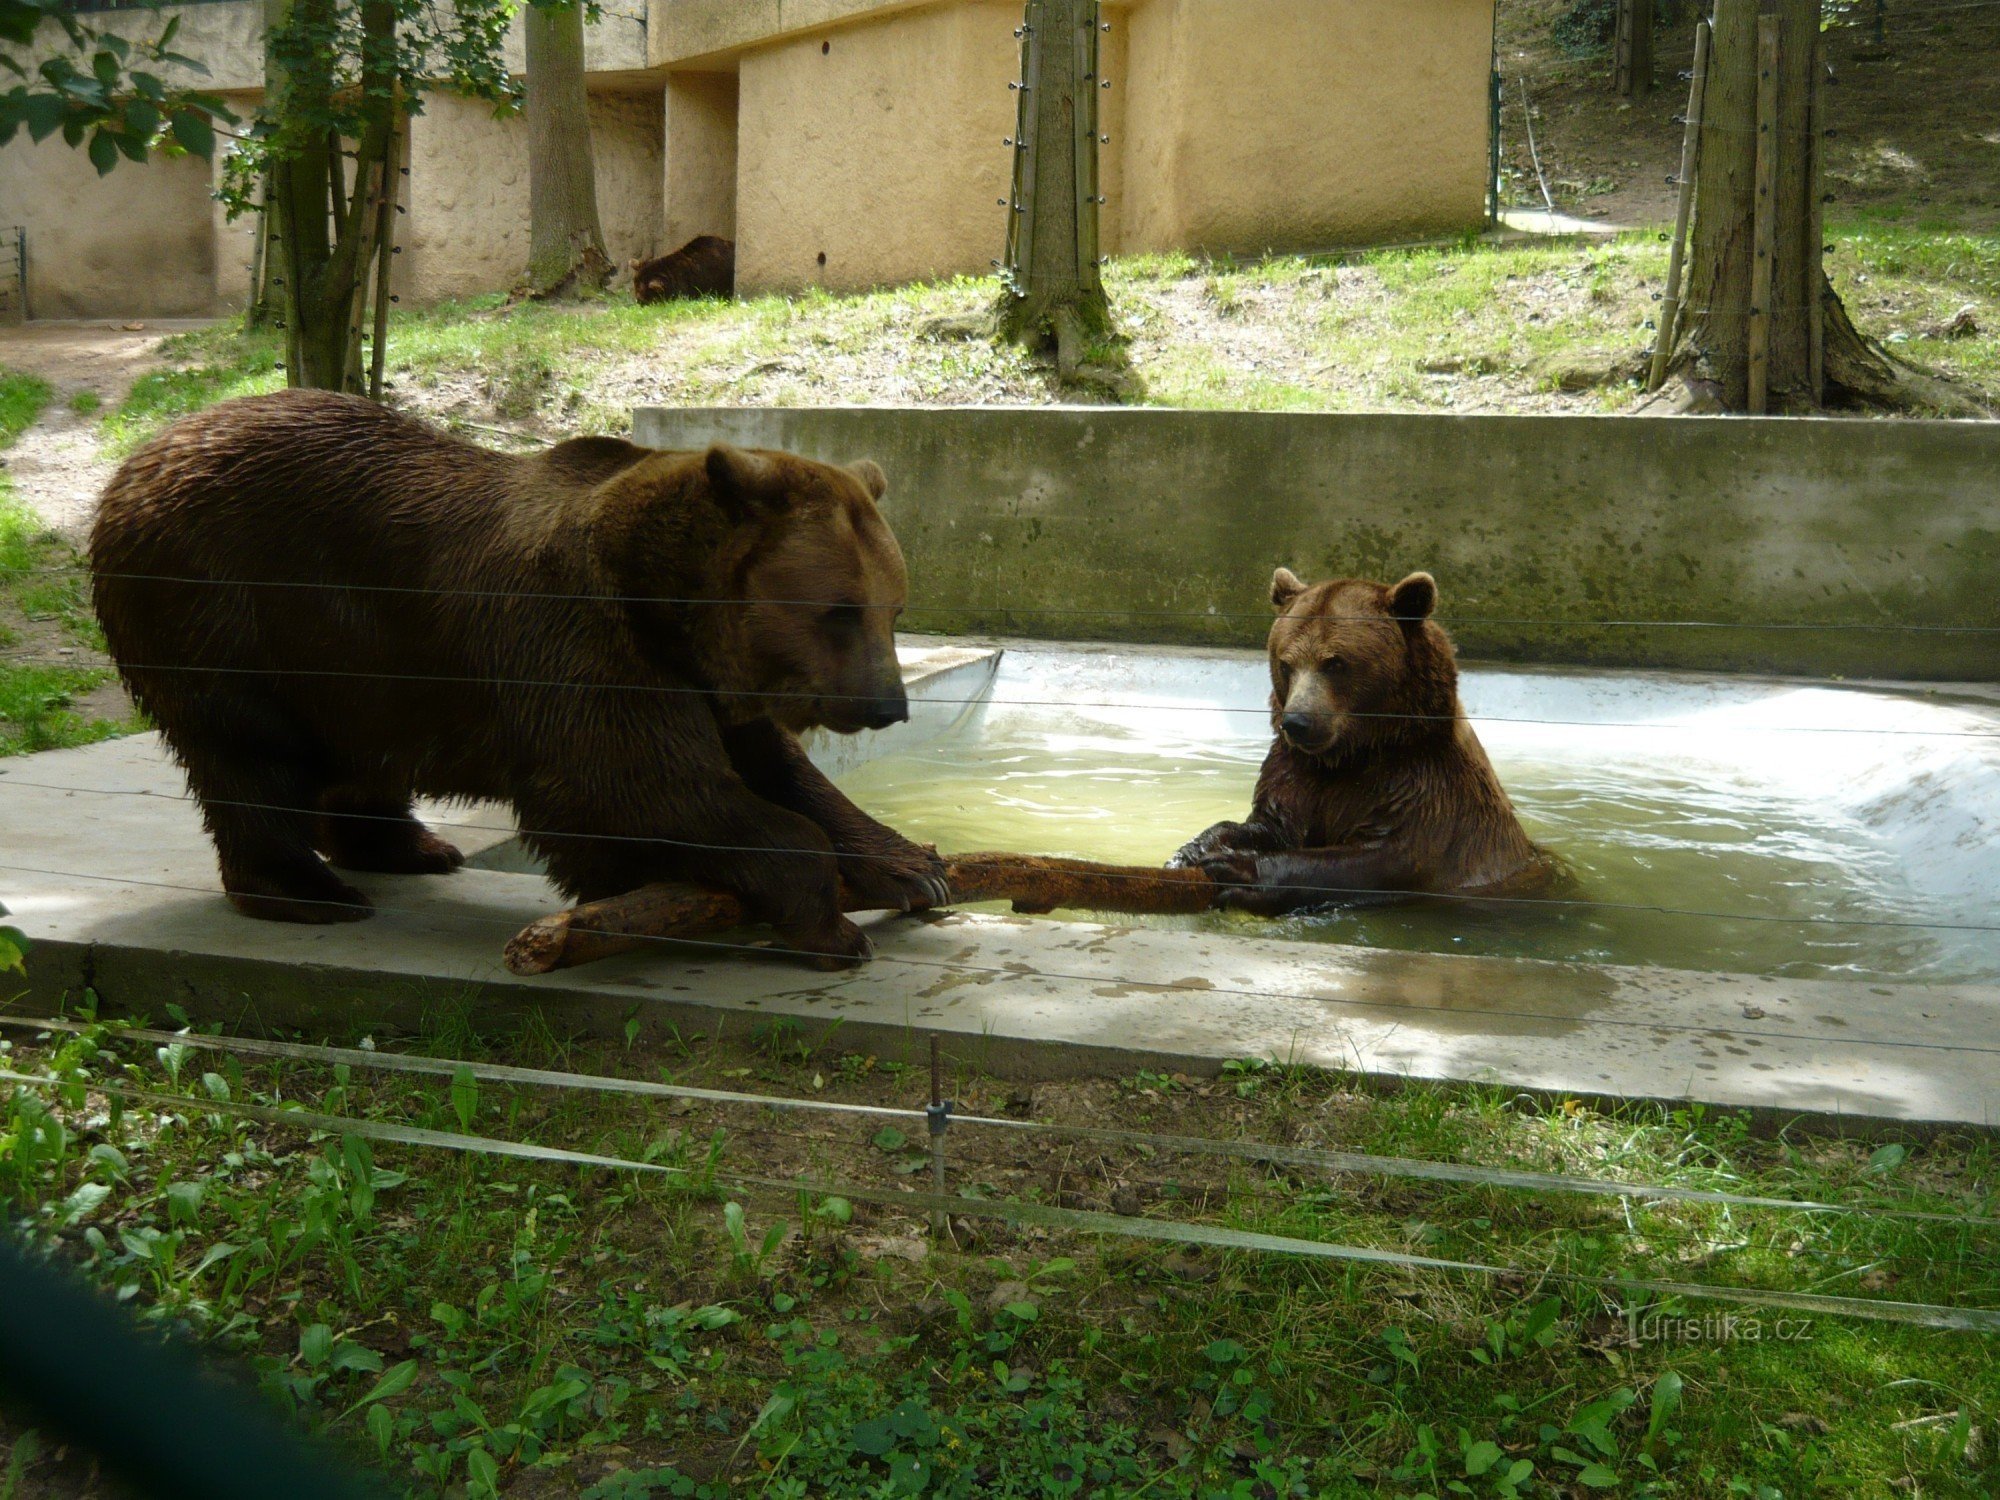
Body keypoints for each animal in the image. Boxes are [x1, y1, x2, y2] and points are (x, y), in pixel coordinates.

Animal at [88, 394, 944, 968]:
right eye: (838, 611)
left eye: (892, 606)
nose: (887, 705)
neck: (663, 601)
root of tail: (141, 456)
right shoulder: (576, 641)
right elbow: (632, 787)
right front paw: (827, 916)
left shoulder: (699, 679)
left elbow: (777, 769)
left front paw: (913, 868)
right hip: (220, 601)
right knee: (246, 750)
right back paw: (311, 892)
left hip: (354, 656)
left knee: (358, 747)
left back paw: (410, 846)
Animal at [1168, 568, 1568, 912]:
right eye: (1285, 663)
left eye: (1335, 663)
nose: (1297, 722)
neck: (1354, 753)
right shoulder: (1298, 773)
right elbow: (1271, 824)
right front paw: (1194, 850)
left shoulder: (1420, 789)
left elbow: (1377, 858)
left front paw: (1238, 871)